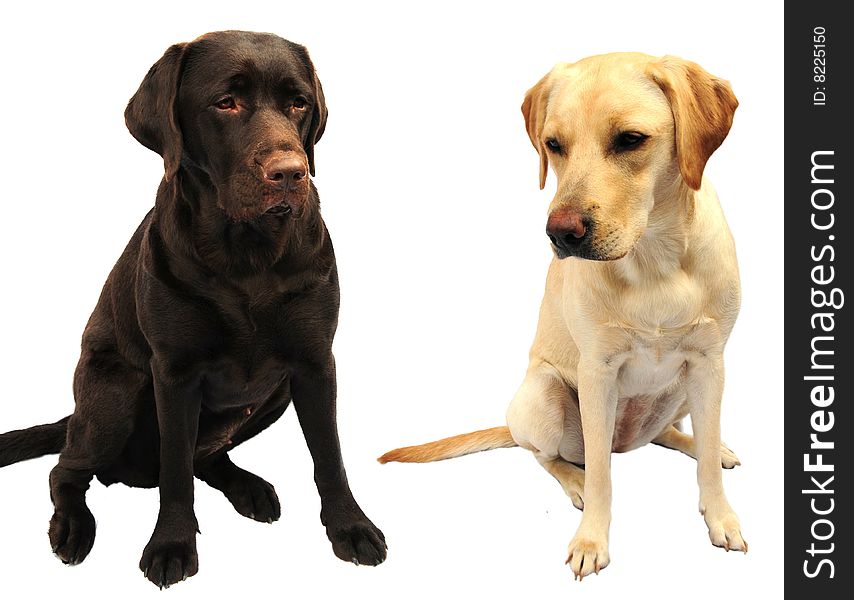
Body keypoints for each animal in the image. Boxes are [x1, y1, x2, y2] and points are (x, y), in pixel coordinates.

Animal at [382, 54, 744, 580]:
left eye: (630, 139)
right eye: (553, 145)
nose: (560, 233)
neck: (654, 259)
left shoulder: (710, 362)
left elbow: (708, 461)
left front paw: (720, 515)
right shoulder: (597, 372)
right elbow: (600, 480)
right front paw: (591, 539)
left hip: (681, 390)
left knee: (673, 436)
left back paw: (704, 447)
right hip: (544, 396)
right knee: (552, 455)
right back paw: (573, 480)